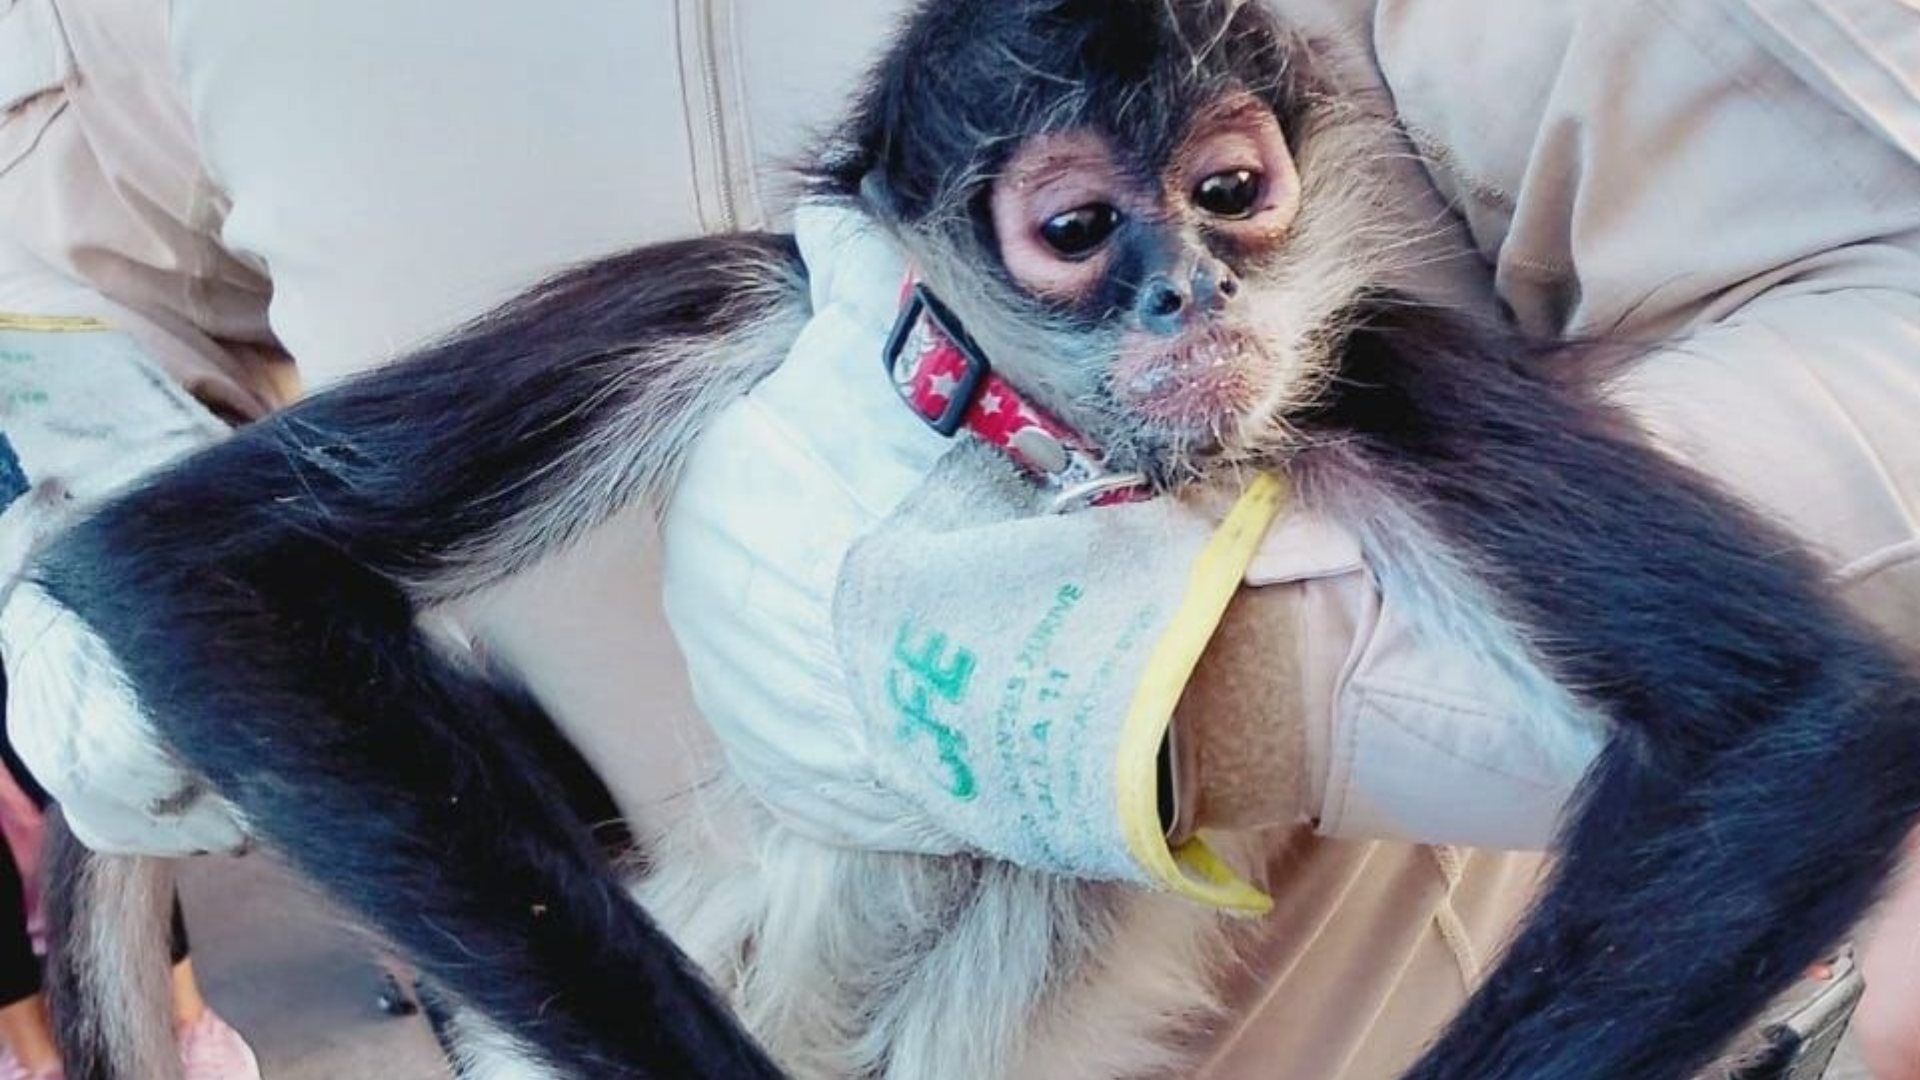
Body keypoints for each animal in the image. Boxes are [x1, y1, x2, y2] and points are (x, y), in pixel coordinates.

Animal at [18, 0, 1920, 1077]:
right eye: (1076, 230)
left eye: (1231, 192)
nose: (1191, 290)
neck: (1045, 449)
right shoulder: (743, 293)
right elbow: (192, 563)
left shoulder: (1366, 361)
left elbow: (1816, 721)